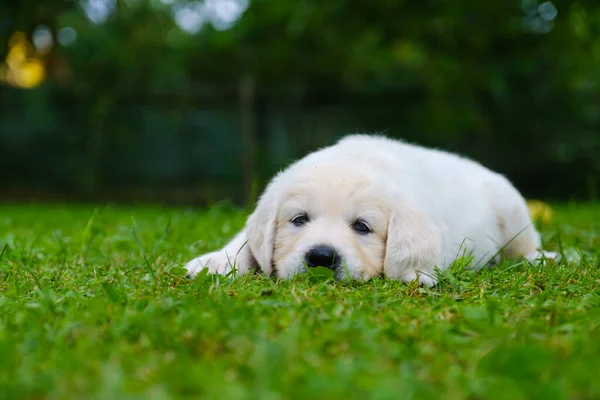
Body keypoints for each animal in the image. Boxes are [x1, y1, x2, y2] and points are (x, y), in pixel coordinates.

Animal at [184, 134, 556, 284]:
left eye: (362, 227)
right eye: (299, 219)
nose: (321, 257)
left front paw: (414, 273)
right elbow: (246, 240)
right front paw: (216, 261)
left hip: (513, 208)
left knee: (526, 245)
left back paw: (542, 258)